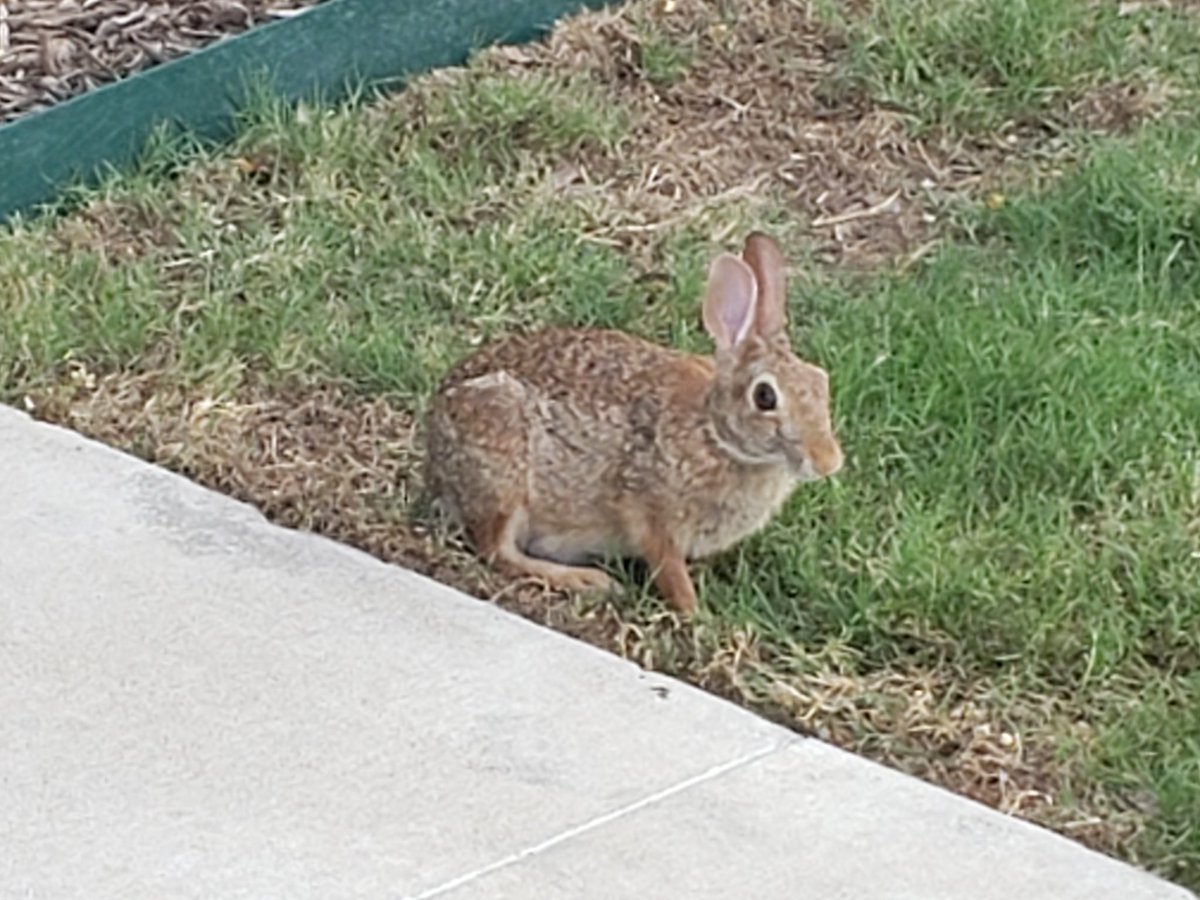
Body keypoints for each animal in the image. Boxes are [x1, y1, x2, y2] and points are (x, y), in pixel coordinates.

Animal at [424, 232, 843, 614]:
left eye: (821, 381)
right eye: (765, 397)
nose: (828, 462)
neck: (714, 433)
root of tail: (435, 448)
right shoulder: (651, 515)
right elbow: (669, 570)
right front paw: (695, 612)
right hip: (503, 471)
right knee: (496, 550)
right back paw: (586, 580)